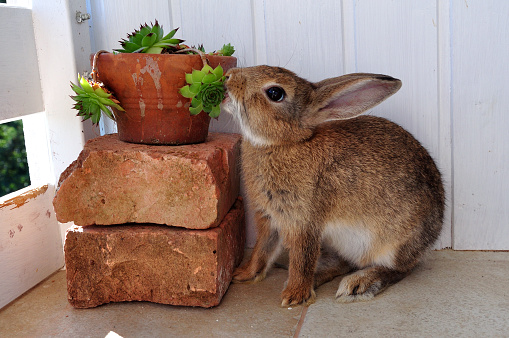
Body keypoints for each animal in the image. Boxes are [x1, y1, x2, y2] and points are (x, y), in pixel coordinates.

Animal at [220, 65, 442, 306]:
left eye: (275, 93)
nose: (229, 75)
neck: (283, 143)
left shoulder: (304, 221)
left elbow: (302, 259)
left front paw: (294, 296)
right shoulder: (270, 218)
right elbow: (262, 250)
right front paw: (243, 275)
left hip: (393, 245)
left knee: (399, 270)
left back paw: (358, 284)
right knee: (343, 263)